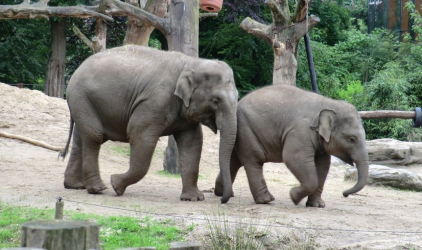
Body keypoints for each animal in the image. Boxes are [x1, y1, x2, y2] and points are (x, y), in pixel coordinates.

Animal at [61, 45, 237, 203]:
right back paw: (98, 189)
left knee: (81, 138)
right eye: (216, 101)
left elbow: (192, 143)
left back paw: (76, 186)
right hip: (82, 98)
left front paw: (193, 199)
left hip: (84, 103)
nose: (222, 199)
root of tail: (76, 71)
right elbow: (140, 136)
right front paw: (116, 184)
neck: (191, 62)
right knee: (94, 136)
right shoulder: (153, 102)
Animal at [216, 84, 368, 207]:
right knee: (254, 160)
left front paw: (317, 205)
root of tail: (239, 103)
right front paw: (293, 196)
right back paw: (266, 200)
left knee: (234, 161)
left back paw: (221, 193)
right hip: (247, 130)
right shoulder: (300, 131)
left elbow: (323, 165)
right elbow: (293, 158)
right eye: (352, 139)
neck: (329, 102)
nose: (344, 194)